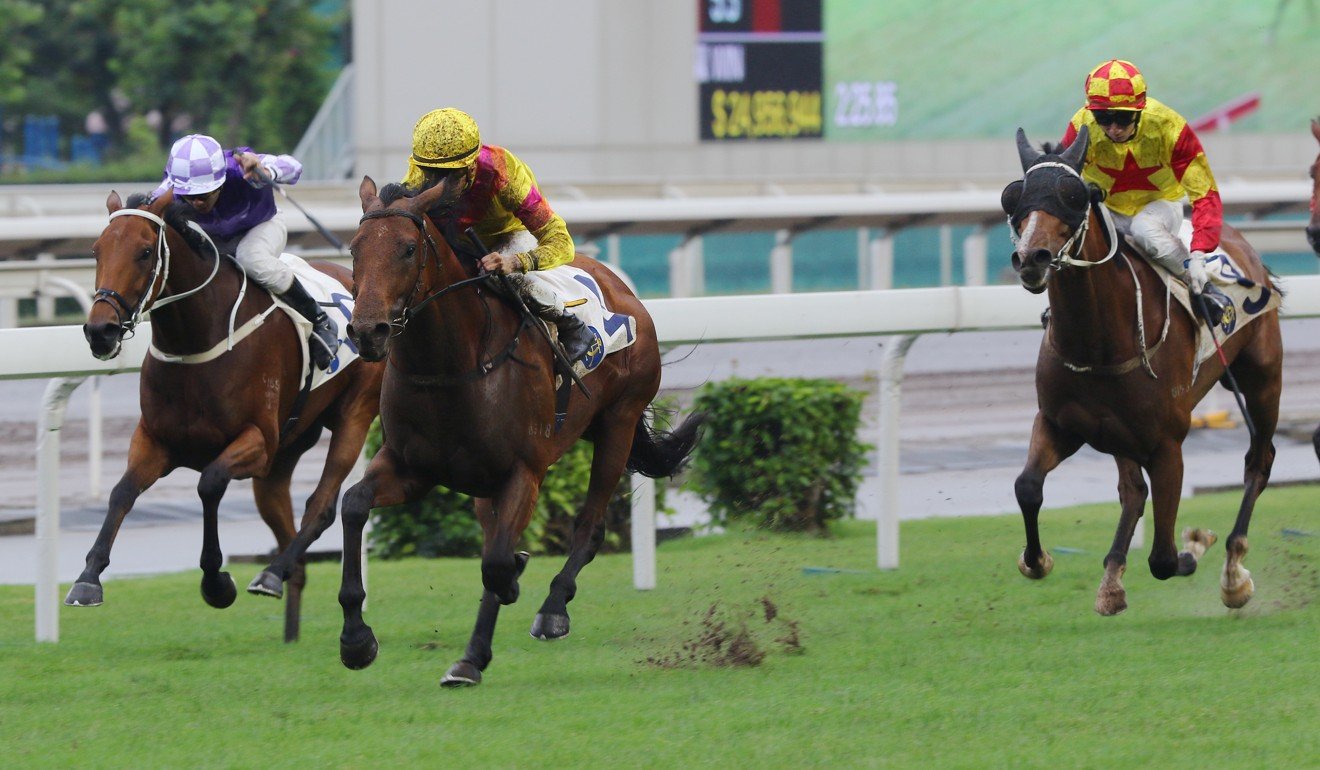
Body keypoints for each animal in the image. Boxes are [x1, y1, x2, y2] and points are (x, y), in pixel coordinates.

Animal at [72, 190, 385, 641]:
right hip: (284, 452)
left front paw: (216, 582)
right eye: (96, 250)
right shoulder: (154, 440)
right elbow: (122, 492)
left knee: (322, 505)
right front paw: (88, 578)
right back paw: (288, 596)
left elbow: (209, 483)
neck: (196, 341)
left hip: (354, 415)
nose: (101, 331)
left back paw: (271, 573)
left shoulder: (255, 441)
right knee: (282, 513)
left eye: (145, 252)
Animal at [330, 179, 702, 686]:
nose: (368, 331)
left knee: (588, 526)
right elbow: (353, 505)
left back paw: (551, 610)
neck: (451, 365)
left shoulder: (523, 471)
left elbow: (497, 564)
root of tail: (622, 289)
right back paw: (472, 655)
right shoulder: (411, 466)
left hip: (618, 423)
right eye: (355, 249)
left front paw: (514, 590)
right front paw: (356, 639)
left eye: (407, 249)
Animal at [1003, 129, 1283, 618]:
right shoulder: (1060, 423)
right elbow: (1028, 487)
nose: (1031, 258)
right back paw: (1112, 578)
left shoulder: (1167, 444)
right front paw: (1037, 560)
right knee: (1132, 491)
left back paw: (1233, 573)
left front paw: (1196, 543)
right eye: (1014, 197)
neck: (1097, 341)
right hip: (1118, 432)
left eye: (1074, 196)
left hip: (1263, 379)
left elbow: (1165, 559)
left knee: (1258, 461)